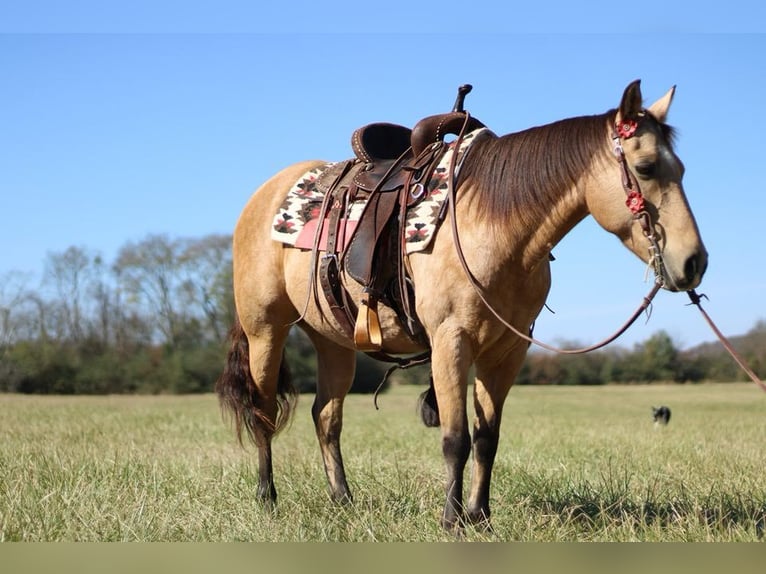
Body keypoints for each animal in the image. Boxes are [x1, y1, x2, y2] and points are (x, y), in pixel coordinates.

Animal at [214, 79, 708, 532]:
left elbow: (487, 437)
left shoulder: (507, 351)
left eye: (683, 168)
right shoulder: (452, 341)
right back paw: (267, 498)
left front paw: (481, 517)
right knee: (263, 411)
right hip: (265, 331)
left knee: (326, 416)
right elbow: (456, 438)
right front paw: (452, 520)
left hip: (332, 341)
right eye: (645, 167)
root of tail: (264, 195)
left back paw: (343, 500)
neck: (493, 224)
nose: (694, 262)